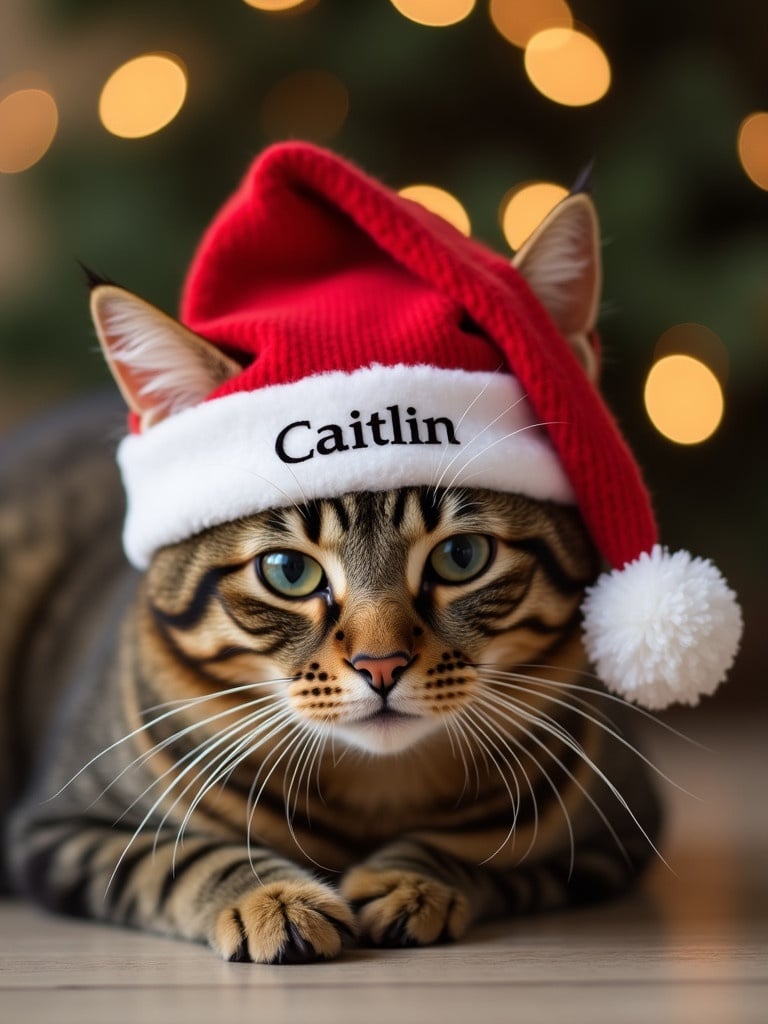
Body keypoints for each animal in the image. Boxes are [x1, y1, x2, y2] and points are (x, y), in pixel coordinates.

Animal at [0, 172, 663, 962]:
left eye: (461, 556)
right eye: (289, 571)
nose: (381, 666)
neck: (380, 787)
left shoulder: (613, 842)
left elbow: (480, 855)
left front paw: (411, 881)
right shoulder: (59, 829)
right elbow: (180, 856)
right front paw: (274, 898)